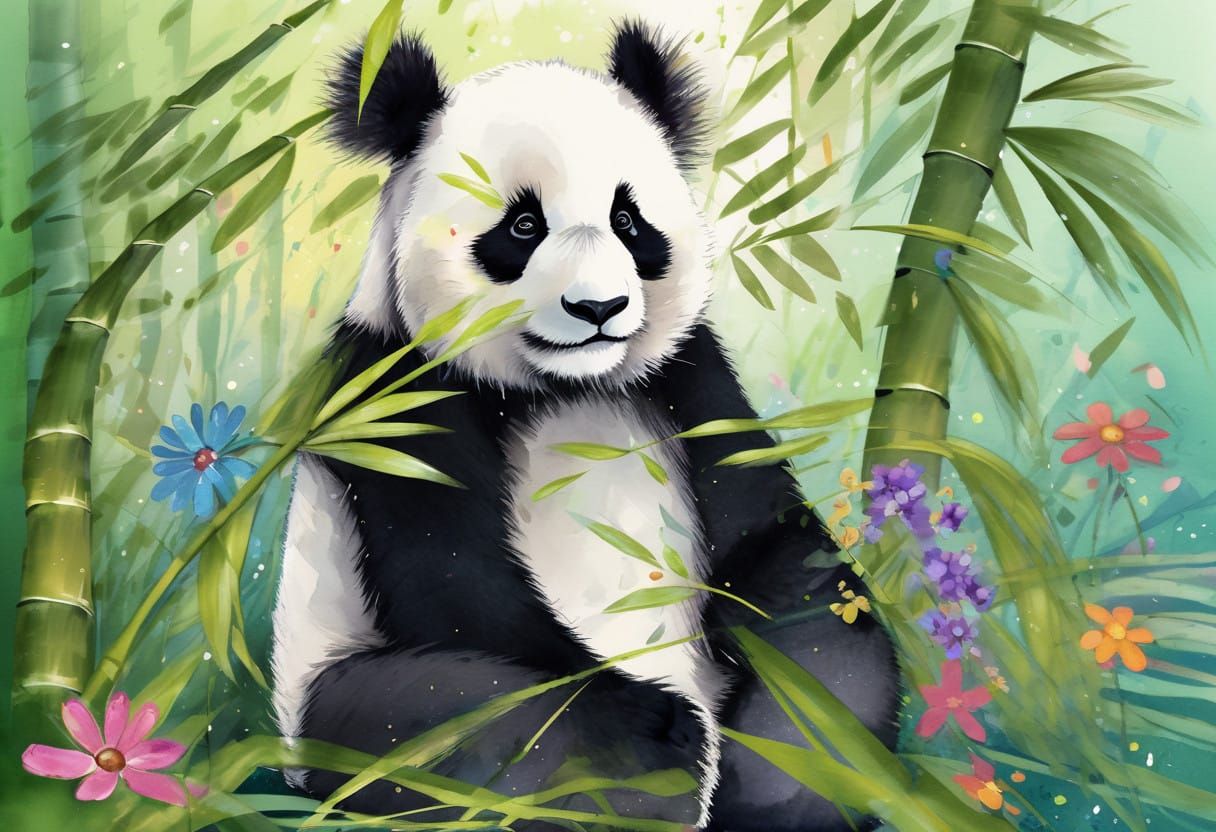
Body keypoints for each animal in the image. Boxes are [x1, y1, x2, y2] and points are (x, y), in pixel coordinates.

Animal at [271, 21, 900, 832]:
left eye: (628, 222)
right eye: (523, 225)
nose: (598, 309)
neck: (564, 389)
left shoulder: (689, 378)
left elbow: (769, 545)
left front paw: (783, 744)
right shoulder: (392, 390)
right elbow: (457, 585)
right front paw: (656, 736)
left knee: (845, 660)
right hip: (337, 699)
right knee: (478, 726)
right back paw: (656, 763)